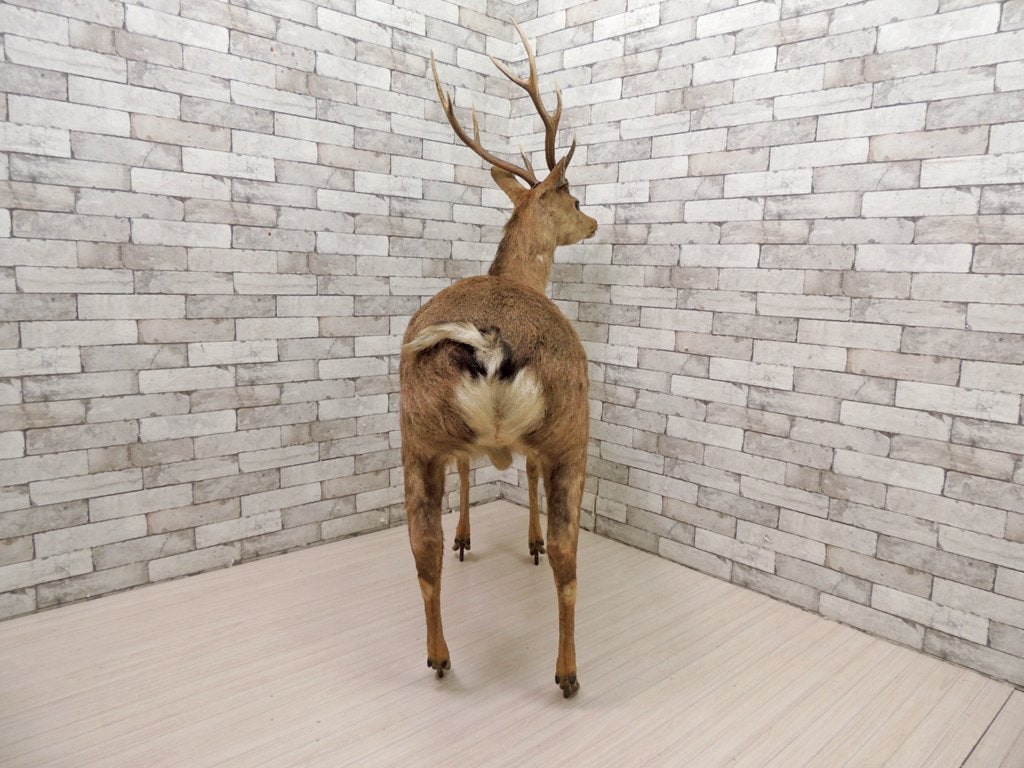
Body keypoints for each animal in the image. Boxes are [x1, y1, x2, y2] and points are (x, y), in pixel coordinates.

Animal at [399, 20, 597, 699]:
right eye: (572, 195)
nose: (594, 222)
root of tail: (489, 342)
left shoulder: (457, 447)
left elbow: (470, 470)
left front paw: (469, 538)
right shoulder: (545, 445)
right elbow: (525, 478)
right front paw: (527, 542)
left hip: (415, 432)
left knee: (422, 551)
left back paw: (438, 656)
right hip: (573, 431)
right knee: (570, 560)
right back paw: (567, 673)